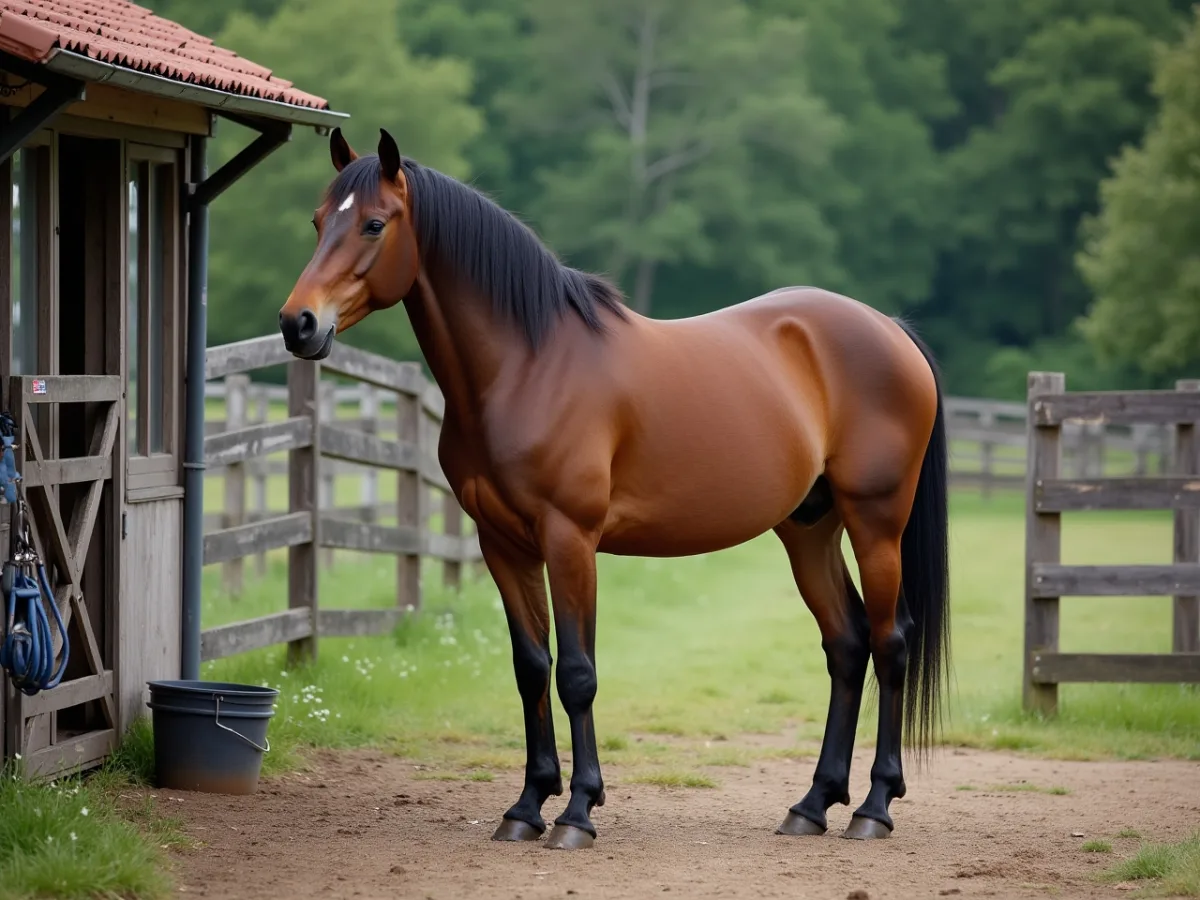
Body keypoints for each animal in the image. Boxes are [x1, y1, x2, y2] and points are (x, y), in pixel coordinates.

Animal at [278, 128, 950, 851]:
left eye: (374, 223)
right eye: (318, 221)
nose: (298, 324)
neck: (530, 365)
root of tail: (888, 328)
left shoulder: (569, 539)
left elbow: (577, 673)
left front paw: (577, 811)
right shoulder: (503, 544)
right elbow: (531, 667)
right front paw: (526, 806)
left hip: (876, 522)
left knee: (890, 643)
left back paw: (873, 807)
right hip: (808, 528)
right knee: (847, 644)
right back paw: (813, 803)